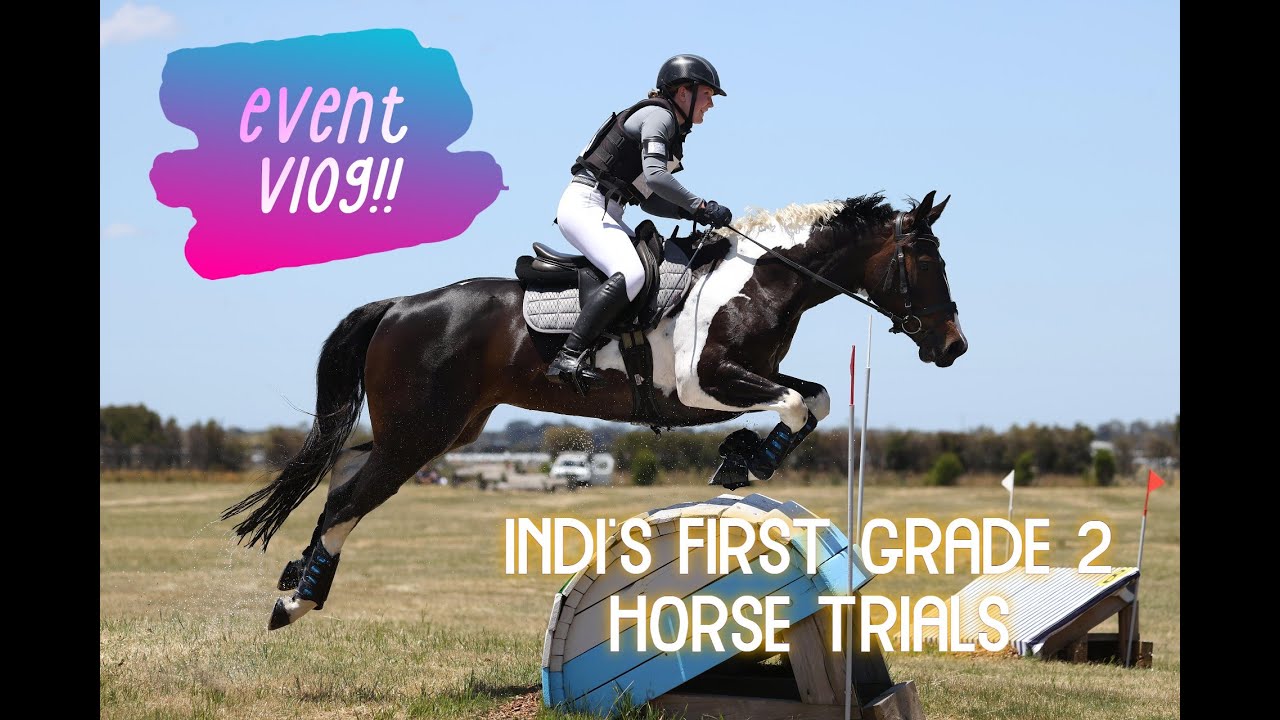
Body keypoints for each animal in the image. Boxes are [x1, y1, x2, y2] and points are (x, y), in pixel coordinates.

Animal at [222, 190, 967, 630]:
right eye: (925, 260)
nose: (953, 346)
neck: (763, 280)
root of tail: (400, 305)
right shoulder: (707, 384)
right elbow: (794, 400)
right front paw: (747, 461)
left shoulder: (749, 375)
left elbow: (813, 396)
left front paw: (743, 459)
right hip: (417, 435)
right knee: (348, 497)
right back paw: (295, 598)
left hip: (444, 429)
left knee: (343, 482)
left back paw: (299, 579)